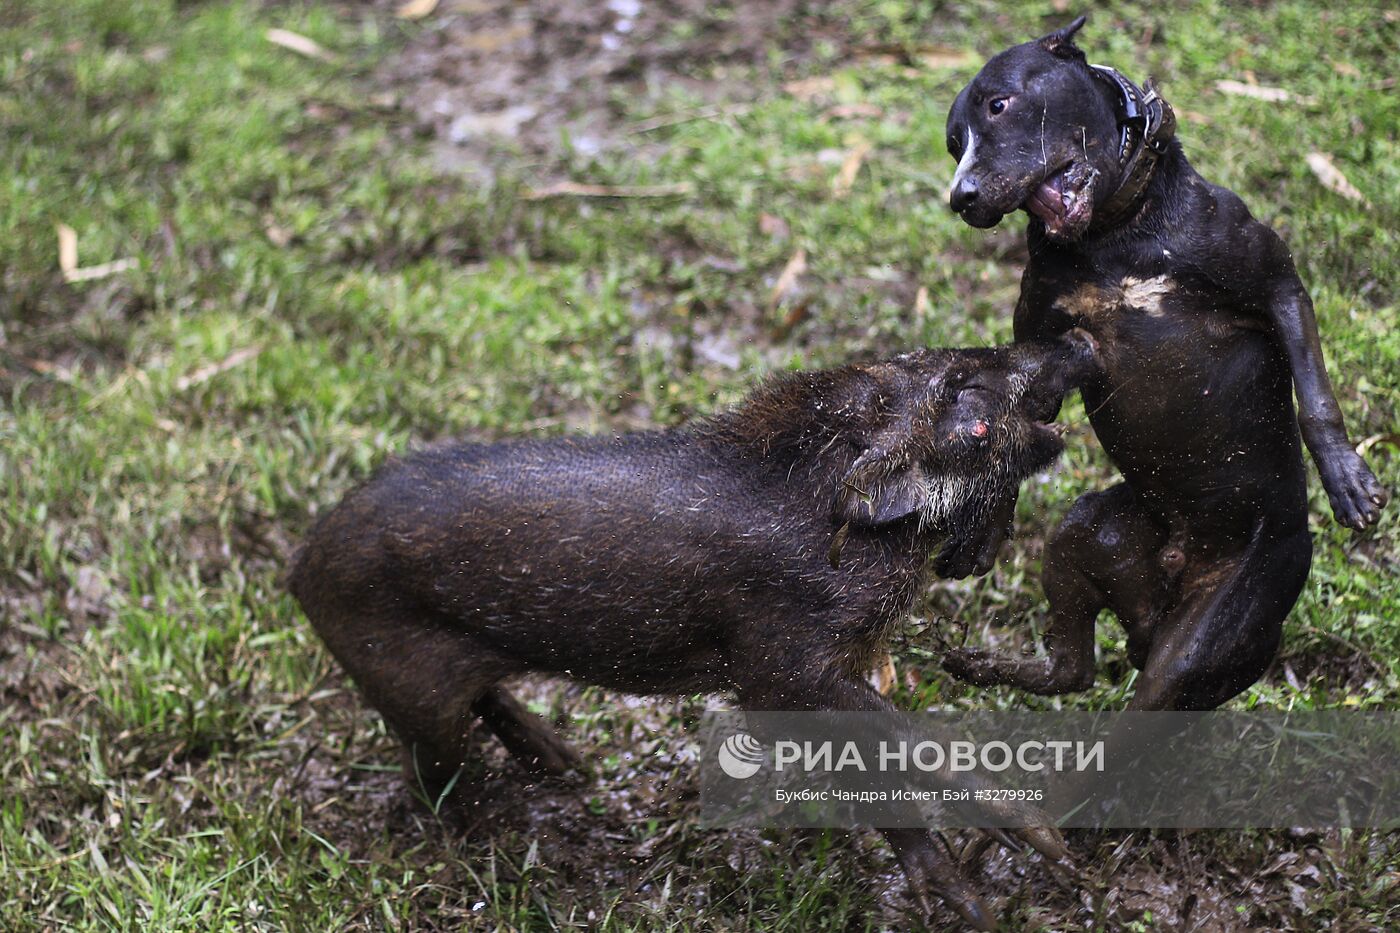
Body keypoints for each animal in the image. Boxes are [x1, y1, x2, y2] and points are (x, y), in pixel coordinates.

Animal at [287, 332, 1092, 924]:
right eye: (961, 388)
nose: (1066, 343)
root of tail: (299, 567)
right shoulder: (777, 668)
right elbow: (907, 745)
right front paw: (1026, 870)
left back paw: (567, 762)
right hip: (408, 689)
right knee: (434, 783)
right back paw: (505, 841)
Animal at [935, 16, 1383, 711]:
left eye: (999, 105)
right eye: (953, 144)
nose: (962, 197)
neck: (1117, 235)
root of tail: (1169, 585)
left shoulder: (1279, 286)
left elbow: (1317, 401)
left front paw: (1346, 479)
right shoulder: (1047, 345)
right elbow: (1017, 416)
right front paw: (980, 529)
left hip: (1199, 645)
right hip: (1088, 533)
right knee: (1073, 668)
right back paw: (979, 664)